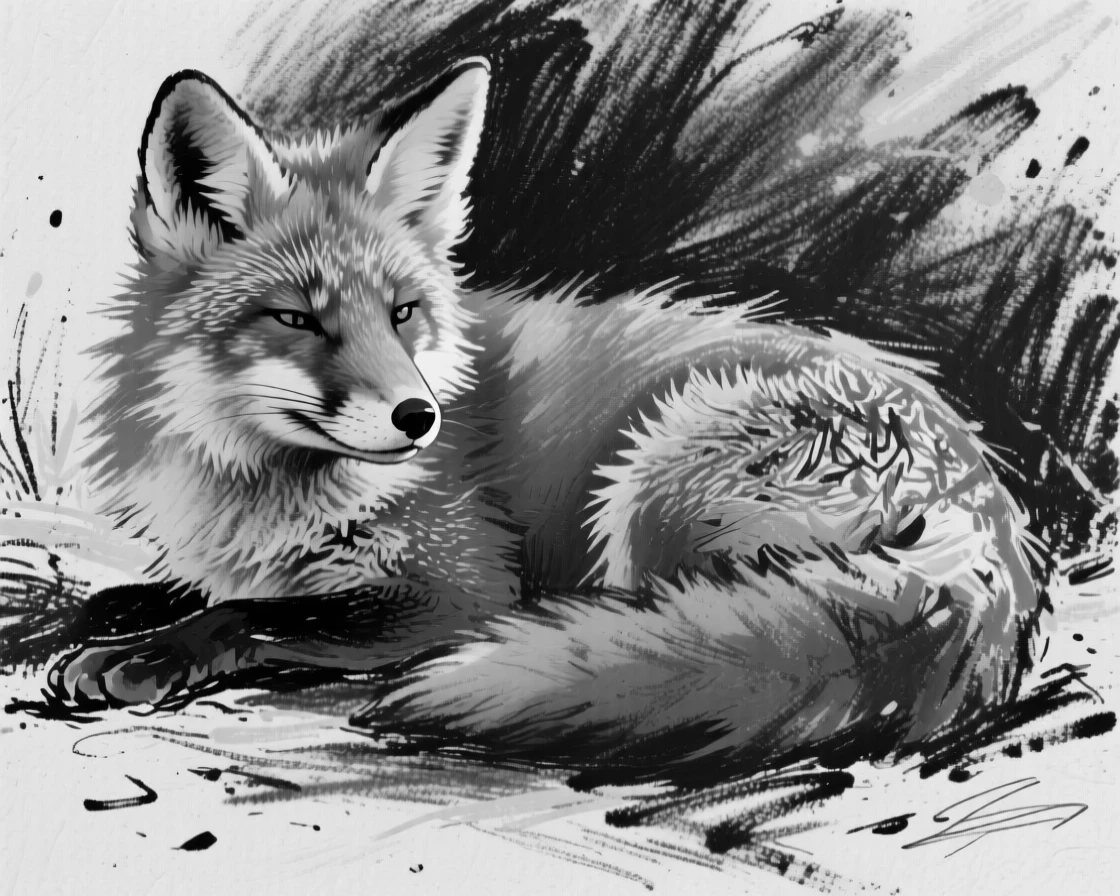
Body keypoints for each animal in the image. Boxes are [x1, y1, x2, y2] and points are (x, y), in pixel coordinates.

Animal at [56, 58, 1042, 777]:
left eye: (403, 313)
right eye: (298, 319)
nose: (417, 417)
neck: (265, 485)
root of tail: (987, 513)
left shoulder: (454, 589)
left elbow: (250, 616)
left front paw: (148, 653)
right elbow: (183, 590)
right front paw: (117, 611)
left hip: (652, 478)